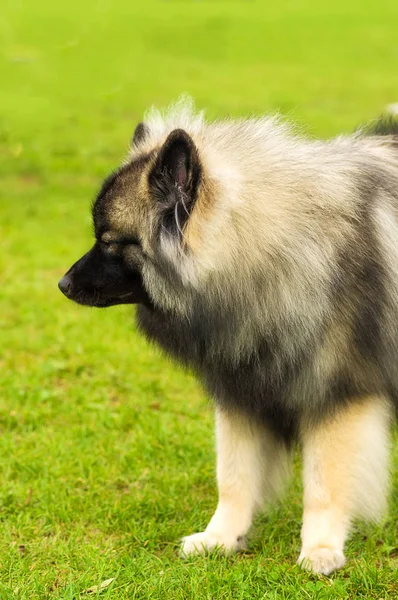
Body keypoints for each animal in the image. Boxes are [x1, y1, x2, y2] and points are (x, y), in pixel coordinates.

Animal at [59, 99, 398, 576]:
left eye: (109, 242)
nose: (63, 284)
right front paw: (220, 537)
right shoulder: (241, 390)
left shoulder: (335, 396)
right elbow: (234, 477)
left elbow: (323, 485)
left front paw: (320, 548)